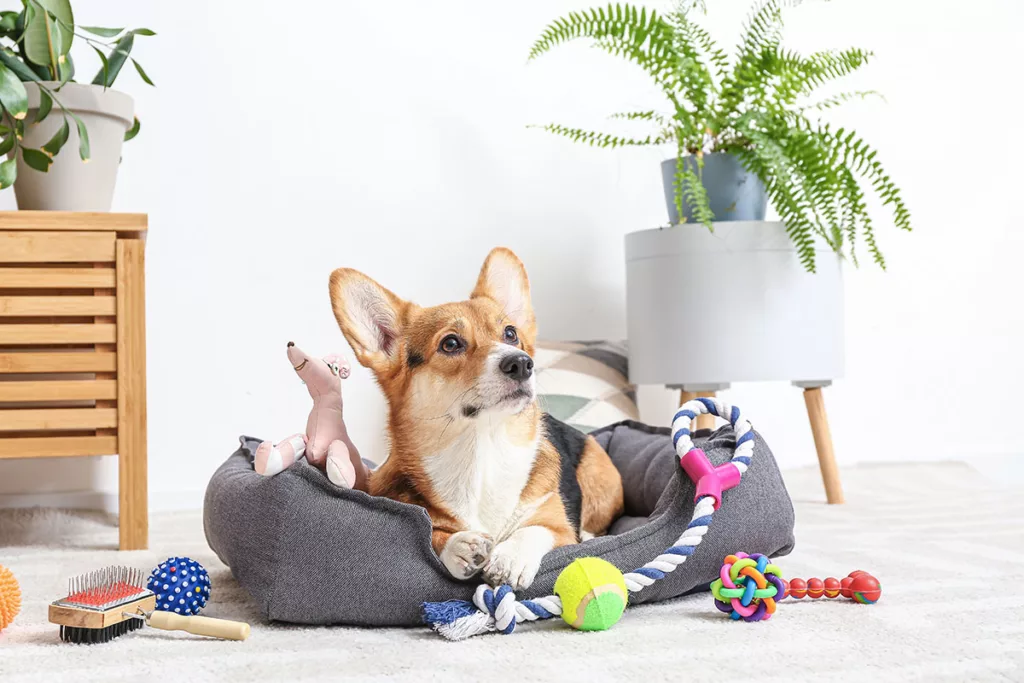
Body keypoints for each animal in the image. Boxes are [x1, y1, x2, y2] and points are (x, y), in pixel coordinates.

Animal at [329, 248, 622, 589]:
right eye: (451, 343)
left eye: (510, 334)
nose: (522, 363)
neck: (482, 452)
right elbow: (432, 532)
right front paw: (459, 546)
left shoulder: (559, 530)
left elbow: (535, 529)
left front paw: (511, 558)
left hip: (598, 474)